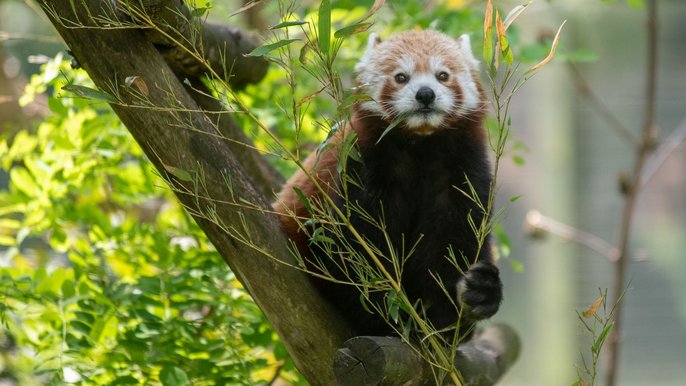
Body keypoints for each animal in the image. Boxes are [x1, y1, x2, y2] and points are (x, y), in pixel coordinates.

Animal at [274, 30, 506, 338]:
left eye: (443, 75)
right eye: (401, 77)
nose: (425, 93)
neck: (421, 146)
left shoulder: (462, 172)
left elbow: (456, 239)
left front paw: (458, 306)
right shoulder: (362, 167)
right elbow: (357, 249)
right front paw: (387, 315)